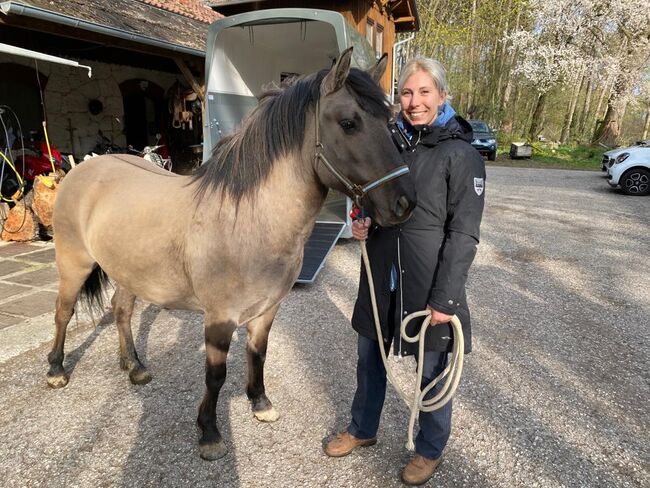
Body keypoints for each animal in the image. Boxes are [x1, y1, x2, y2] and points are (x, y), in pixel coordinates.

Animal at [46, 47, 416, 460]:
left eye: (391, 121)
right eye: (349, 123)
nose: (404, 204)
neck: (248, 218)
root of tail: (85, 167)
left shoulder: (267, 310)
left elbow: (258, 353)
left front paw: (260, 403)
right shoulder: (219, 318)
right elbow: (216, 374)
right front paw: (209, 433)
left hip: (128, 270)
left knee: (121, 310)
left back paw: (134, 366)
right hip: (73, 264)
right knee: (63, 312)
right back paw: (57, 371)